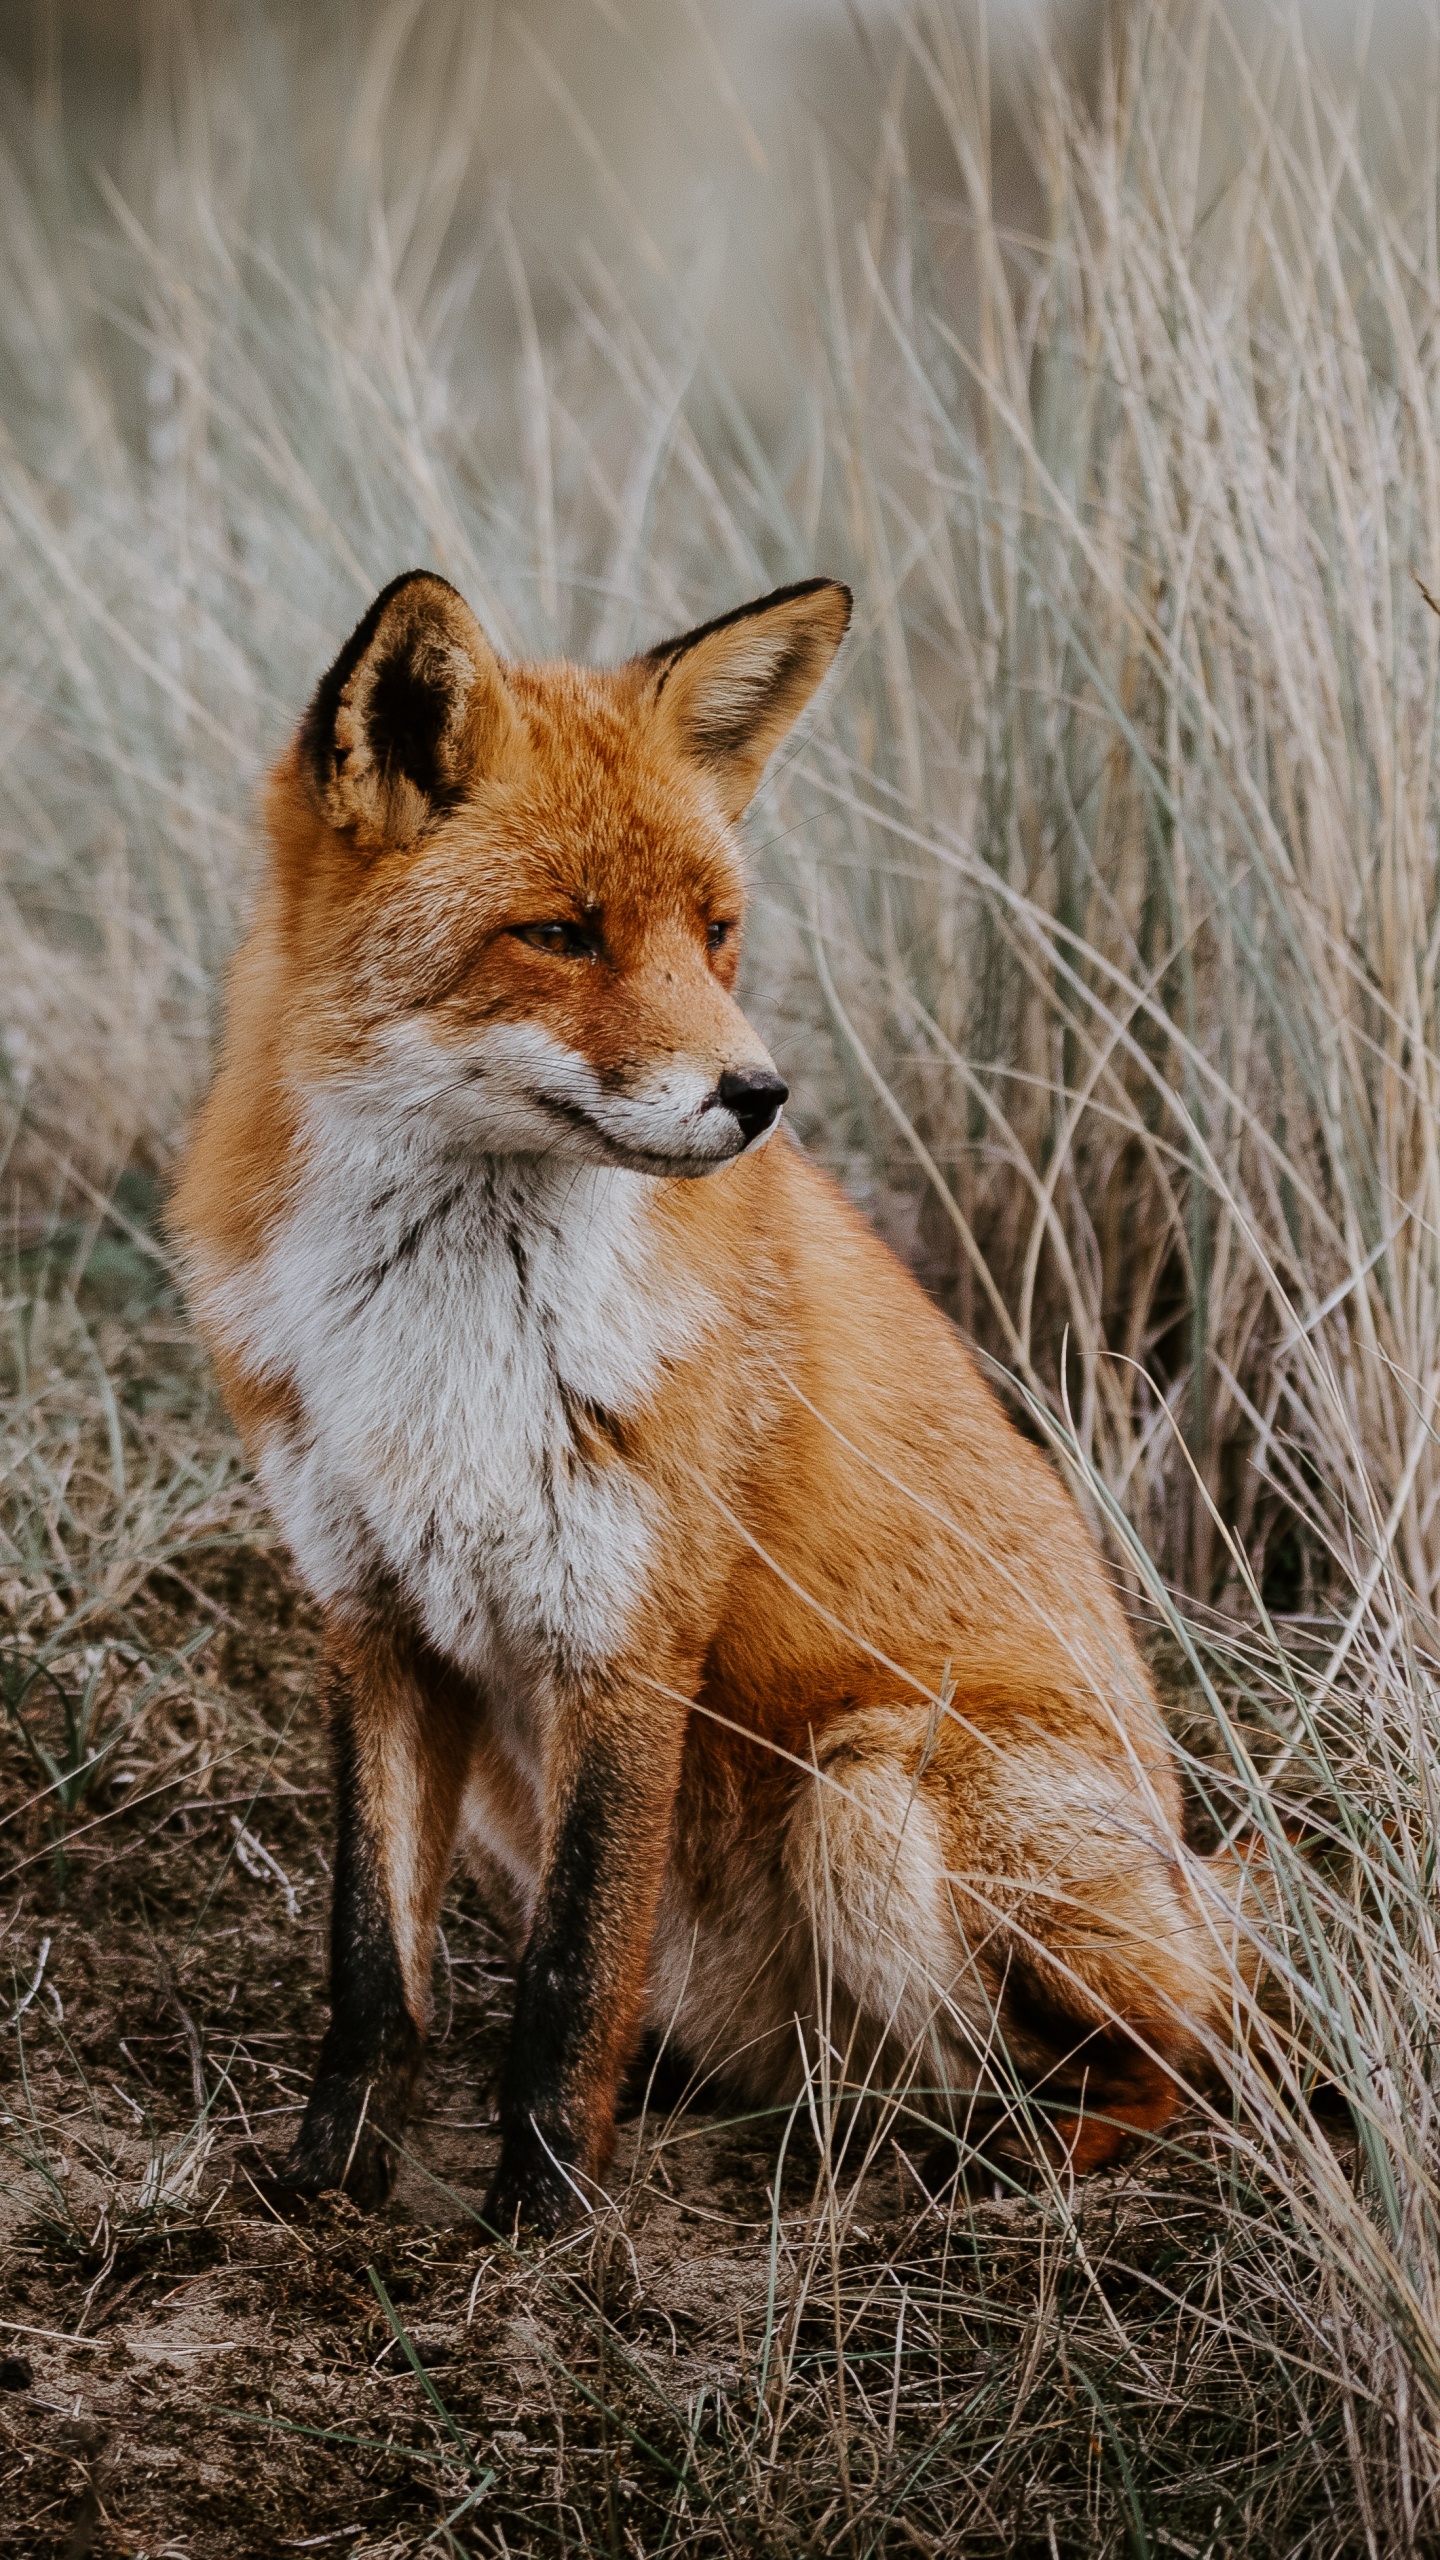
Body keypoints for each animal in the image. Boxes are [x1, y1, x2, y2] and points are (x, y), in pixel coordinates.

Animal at [176, 570, 1235, 2232]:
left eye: (715, 934)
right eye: (559, 933)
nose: (759, 1097)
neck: (444, 1342)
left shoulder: (628, 1633)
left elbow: (568, 1980)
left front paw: (542, 2227)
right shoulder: (372, 1619)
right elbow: (373, 1973)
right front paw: (328, 2191)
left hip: (878, 1792)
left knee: (1185, 2059)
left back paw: (992, 2173)